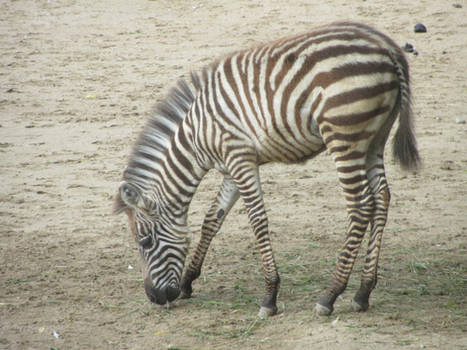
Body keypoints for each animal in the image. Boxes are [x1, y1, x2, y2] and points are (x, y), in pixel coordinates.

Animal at [114, 21, 420, 318]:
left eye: (145, 242)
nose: (154, 298)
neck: (196, 134)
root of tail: (387, 47)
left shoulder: (239, 157)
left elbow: (257, 219)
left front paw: (270, 295)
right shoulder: (230, 168)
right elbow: (212, 219)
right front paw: (189, 280)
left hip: (344, 138)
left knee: (361, 205)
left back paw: (331, 294)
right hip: (374, 138)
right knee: (382, 197)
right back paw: (363, 291)